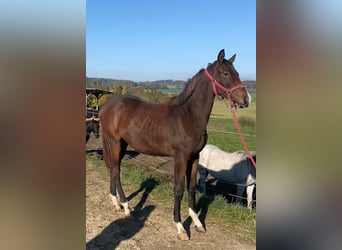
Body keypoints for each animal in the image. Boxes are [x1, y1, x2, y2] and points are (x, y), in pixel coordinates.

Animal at [99, 50, 251, 240]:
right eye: (225, 73)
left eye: (237, 73)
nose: (246, 99)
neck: (188, 116)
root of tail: (107, 105)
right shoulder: (180, 158)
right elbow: (178, 189)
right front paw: (180, 227)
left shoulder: (194, 157)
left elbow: (192, 188)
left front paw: (197, 223)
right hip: (115, 143)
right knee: (116, 170)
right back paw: (126, 206)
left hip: (123, 144)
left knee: (113, 169)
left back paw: (117, 204)